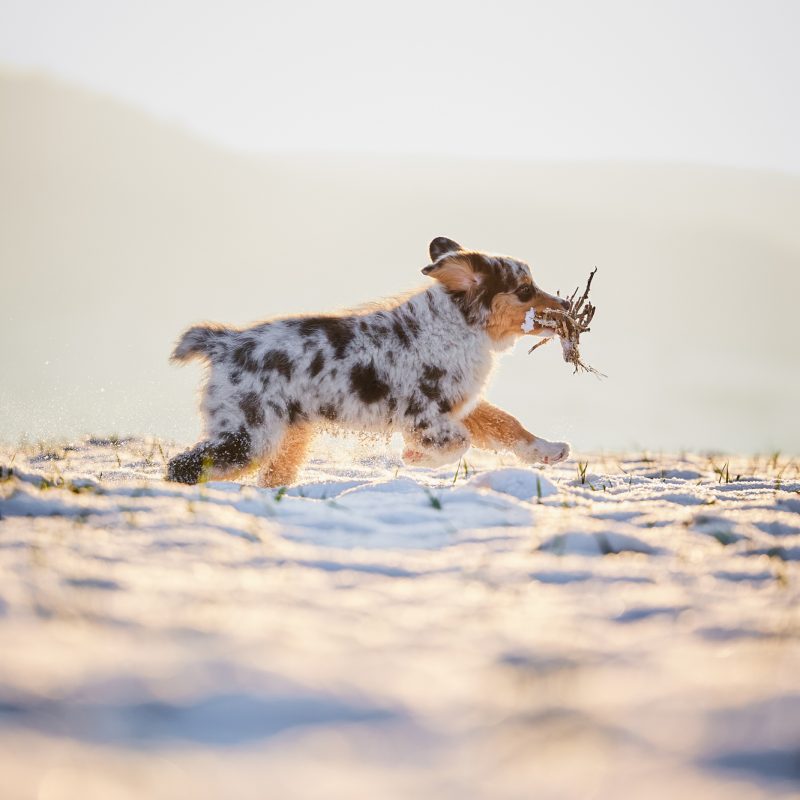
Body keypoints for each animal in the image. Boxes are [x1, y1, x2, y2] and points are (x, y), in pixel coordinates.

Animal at [166, 236, 572, 488]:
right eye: (524, 291)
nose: (567, 305)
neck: (458, 324)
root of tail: (225, 341)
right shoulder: (424, 414)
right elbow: (459, 442)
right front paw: (414, 456)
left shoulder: (461, 404)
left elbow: (507, 424)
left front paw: (550, 451)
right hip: (249, 434)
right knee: (181, 467)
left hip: (287, 436)